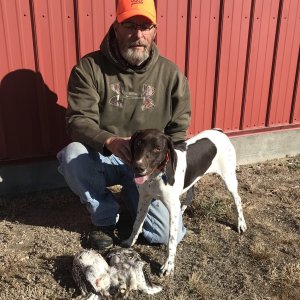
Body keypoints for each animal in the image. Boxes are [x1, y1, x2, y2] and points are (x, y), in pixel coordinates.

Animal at [121, 127, 246, 276]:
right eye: (139, 143)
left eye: (157, 148)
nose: (138, 167)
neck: (156, 176)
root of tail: (219, 130)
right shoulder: (144, 200)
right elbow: (136, 224)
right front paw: (130, 241)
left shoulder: (171, 207)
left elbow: (171, 239)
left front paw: (168, 265)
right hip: (193, 178)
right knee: (190, 195)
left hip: (229, 178)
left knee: (237, 199)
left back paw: (241, 224)